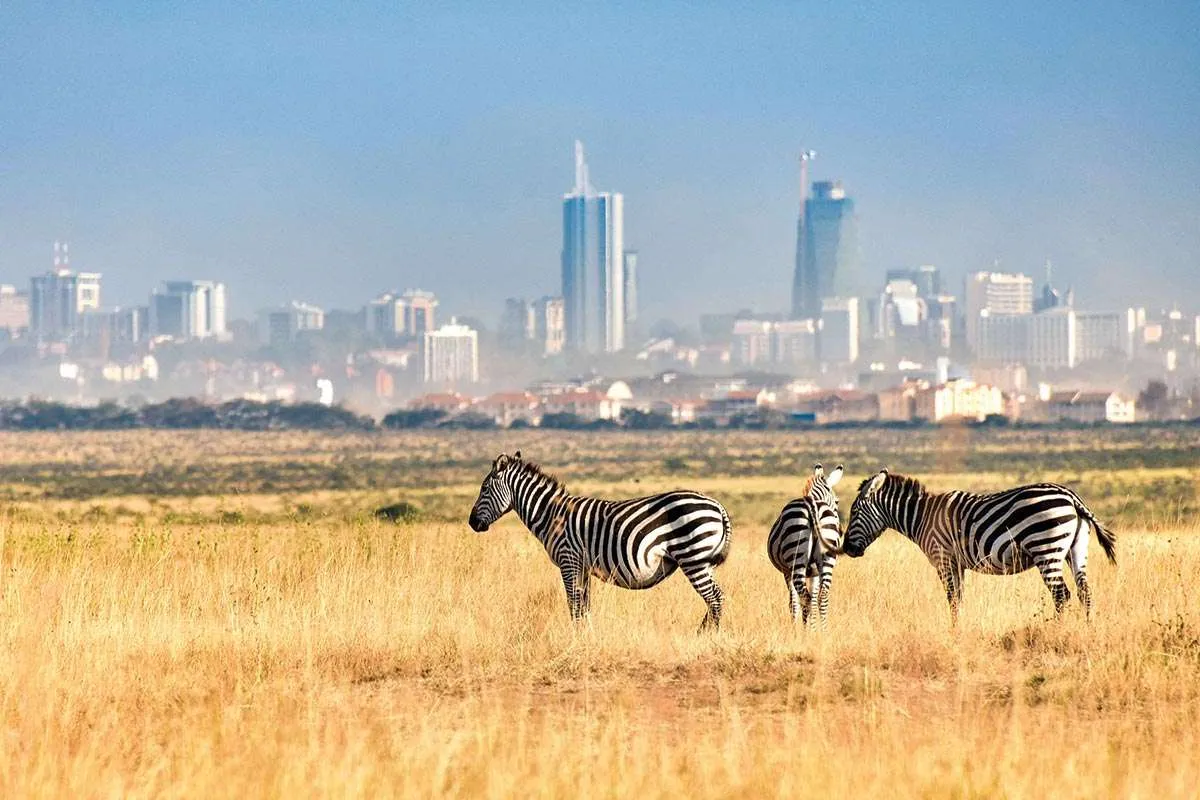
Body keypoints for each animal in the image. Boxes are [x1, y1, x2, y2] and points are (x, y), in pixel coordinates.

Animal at [465, 453, 729, 628]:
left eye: (484, 489)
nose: (471, 523)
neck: (551, 514)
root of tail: (717, 505)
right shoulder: (582, 566)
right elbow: (584, 605)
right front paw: (588, 635)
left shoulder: (568, 561)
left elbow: (573, 604)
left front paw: (577, 638)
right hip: (702, 561)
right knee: (717, 597)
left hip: (692, 557)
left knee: (714, 598)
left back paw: (705, 637)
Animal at [768, 462, 844, 623]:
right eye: (837, 501)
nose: (840, 531)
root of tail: (813, 506)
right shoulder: (815, 572)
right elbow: (814, 600)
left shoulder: (787, 571)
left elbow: (793, 603)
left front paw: (795, 626)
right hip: (827, 560)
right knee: (822, 597)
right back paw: (823, 629)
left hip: (796, 558)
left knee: (805, 599)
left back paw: (805, 629)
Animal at [844, 470, 1113, 623]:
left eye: (854, 511)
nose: (847, 549)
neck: (922, 516)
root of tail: (1071, 497)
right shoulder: (957, 564)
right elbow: (959, 599)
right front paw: (959, 630)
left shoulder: (943, 559)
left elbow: (952, 599)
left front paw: (954, 634)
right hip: (1076, 550)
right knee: (1084, 592)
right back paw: (1087, 631)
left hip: (1045, 549)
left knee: (1061, 595)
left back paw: (1056, 632)